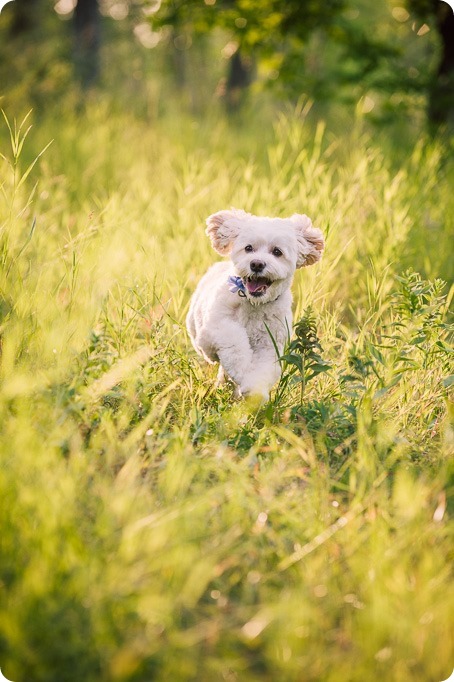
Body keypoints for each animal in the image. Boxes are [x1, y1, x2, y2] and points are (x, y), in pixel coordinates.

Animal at [186, 207, 324, 398]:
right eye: (248, 248)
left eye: (277, 252)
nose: (257, 264)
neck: (254, 304)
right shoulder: (218, 327)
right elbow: (235, 346)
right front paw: (243, 371)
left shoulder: (270, 344)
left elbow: (263, 370)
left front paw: (253, 390)